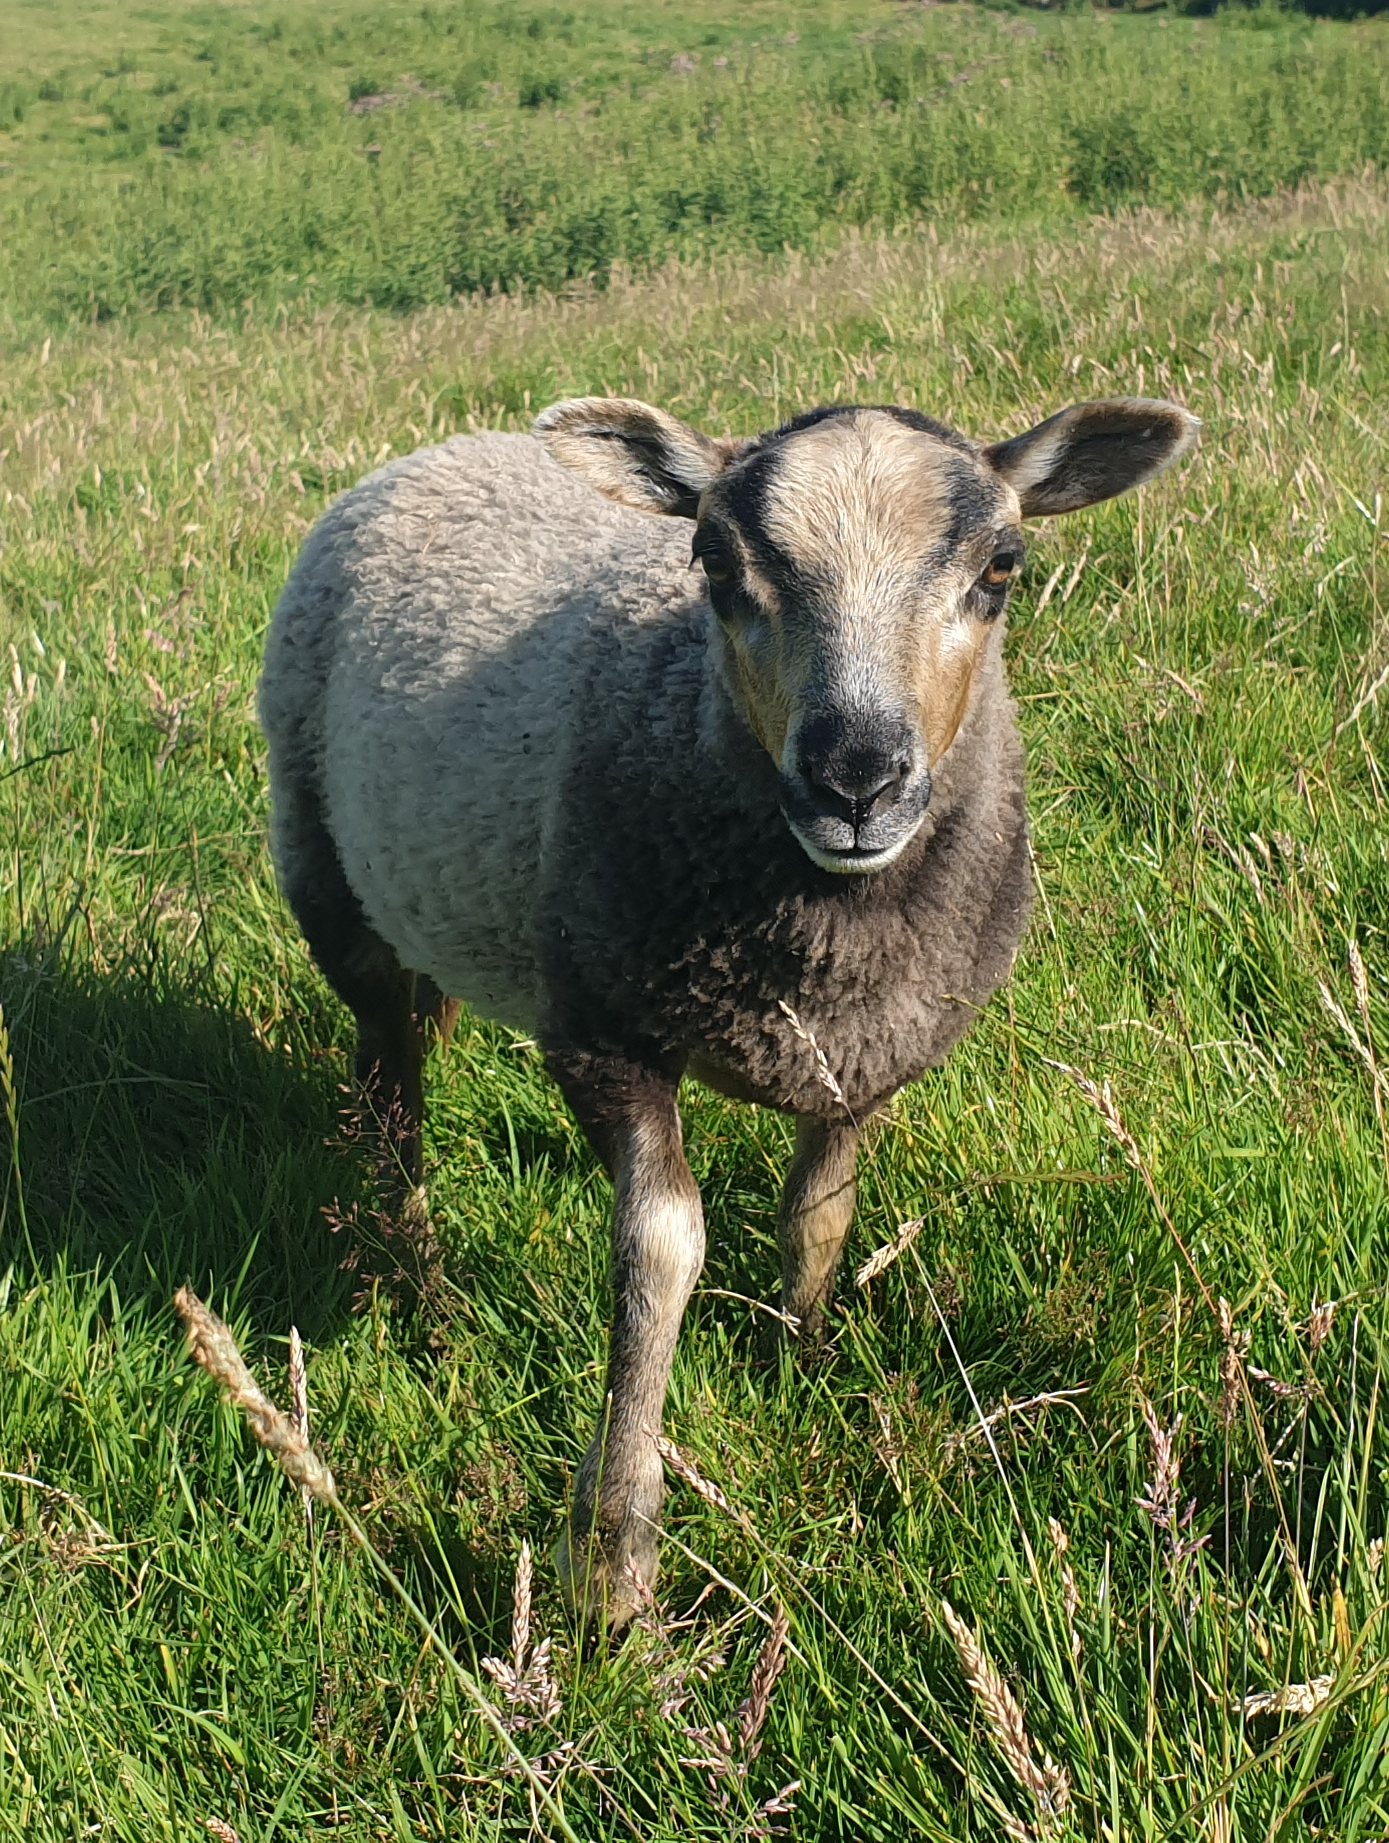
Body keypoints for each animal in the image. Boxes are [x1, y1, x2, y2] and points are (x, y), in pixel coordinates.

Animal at [257, 392, 1193, 1629]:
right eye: (712, 562)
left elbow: (822, 1216)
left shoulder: (866, 1054)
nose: (856, 778)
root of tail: (450, 443)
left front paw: (804, 1357)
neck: (824, 926)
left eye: (1003, 566)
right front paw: (613, 1565)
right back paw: (418, 1282)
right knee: (388, 1085)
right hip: (326, 869)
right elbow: (660, 1252)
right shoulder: (604, 1029)